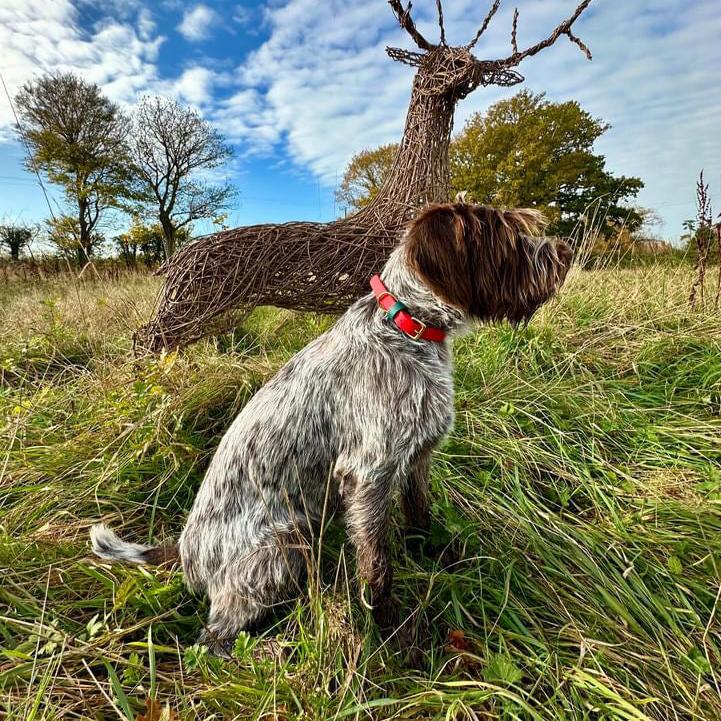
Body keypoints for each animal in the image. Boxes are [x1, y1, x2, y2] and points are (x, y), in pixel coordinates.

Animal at [91, 201, 572, 652]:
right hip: (283, 543)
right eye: (510, 238)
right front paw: (395, 637)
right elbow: (377, 568)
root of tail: (184, 552)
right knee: (214, 634)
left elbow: (420, 514)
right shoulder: (368, 475)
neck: (407, 327)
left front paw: (438, 558)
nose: (564, 253)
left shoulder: (417, 456)